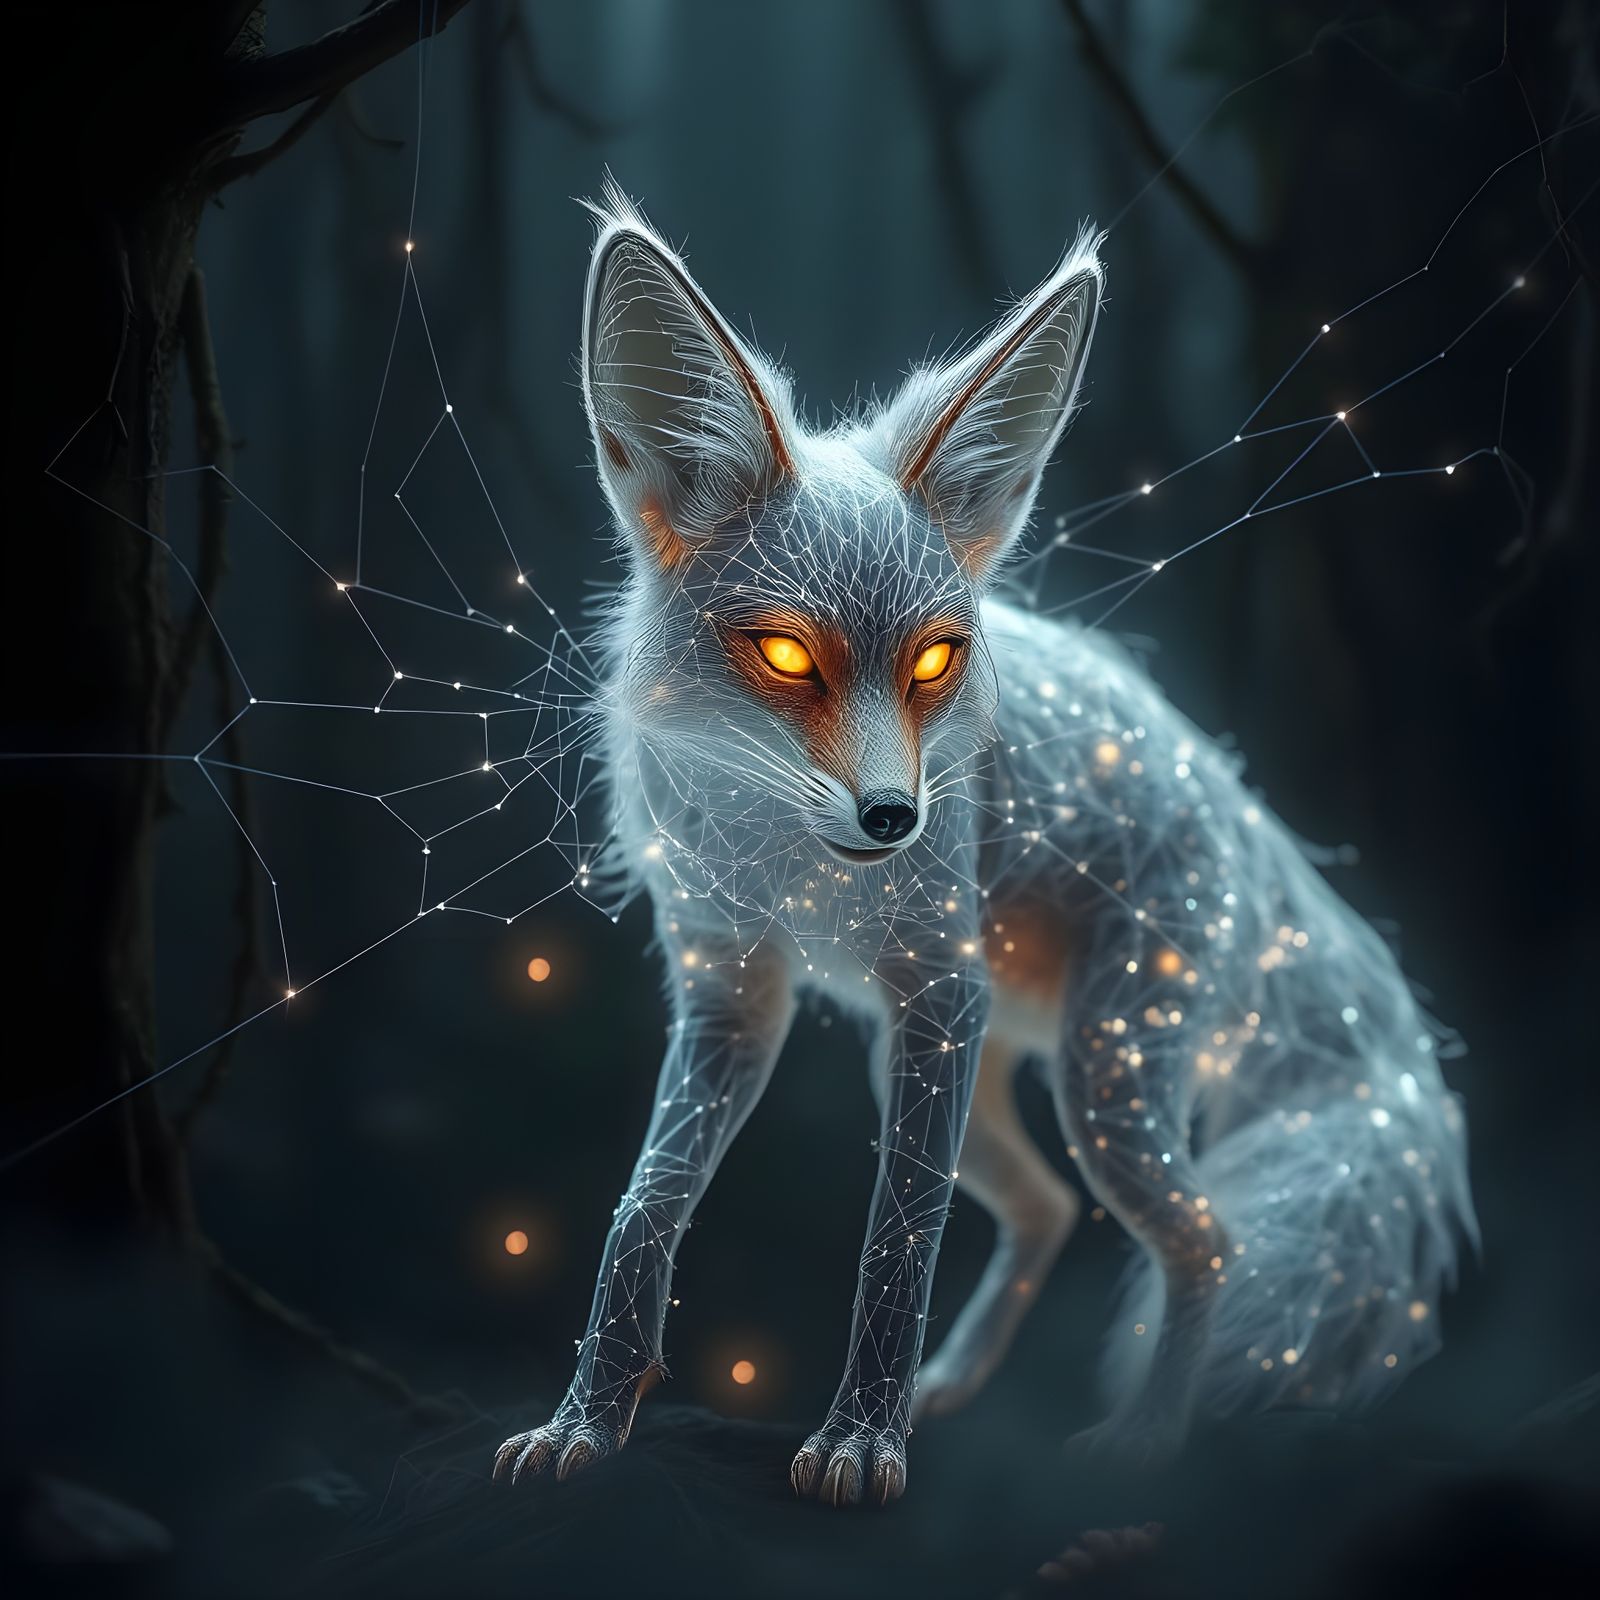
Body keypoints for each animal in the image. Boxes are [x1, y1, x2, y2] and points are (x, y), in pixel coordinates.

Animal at [492, 183, 1477, 1508]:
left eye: (933, 661)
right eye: (787, 654)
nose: (892, 818)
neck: (783, 862)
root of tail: (1242, 811)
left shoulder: (935, 994)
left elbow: (894, 1239)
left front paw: (861, 1441)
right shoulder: (729, 986)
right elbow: (642, 1208)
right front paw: (588, 1422)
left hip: (1100, 1086)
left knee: (1203, 1238)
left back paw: (1145, 1436)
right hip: (957, 1065)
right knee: (1049, 1209)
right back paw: (950, 1386)